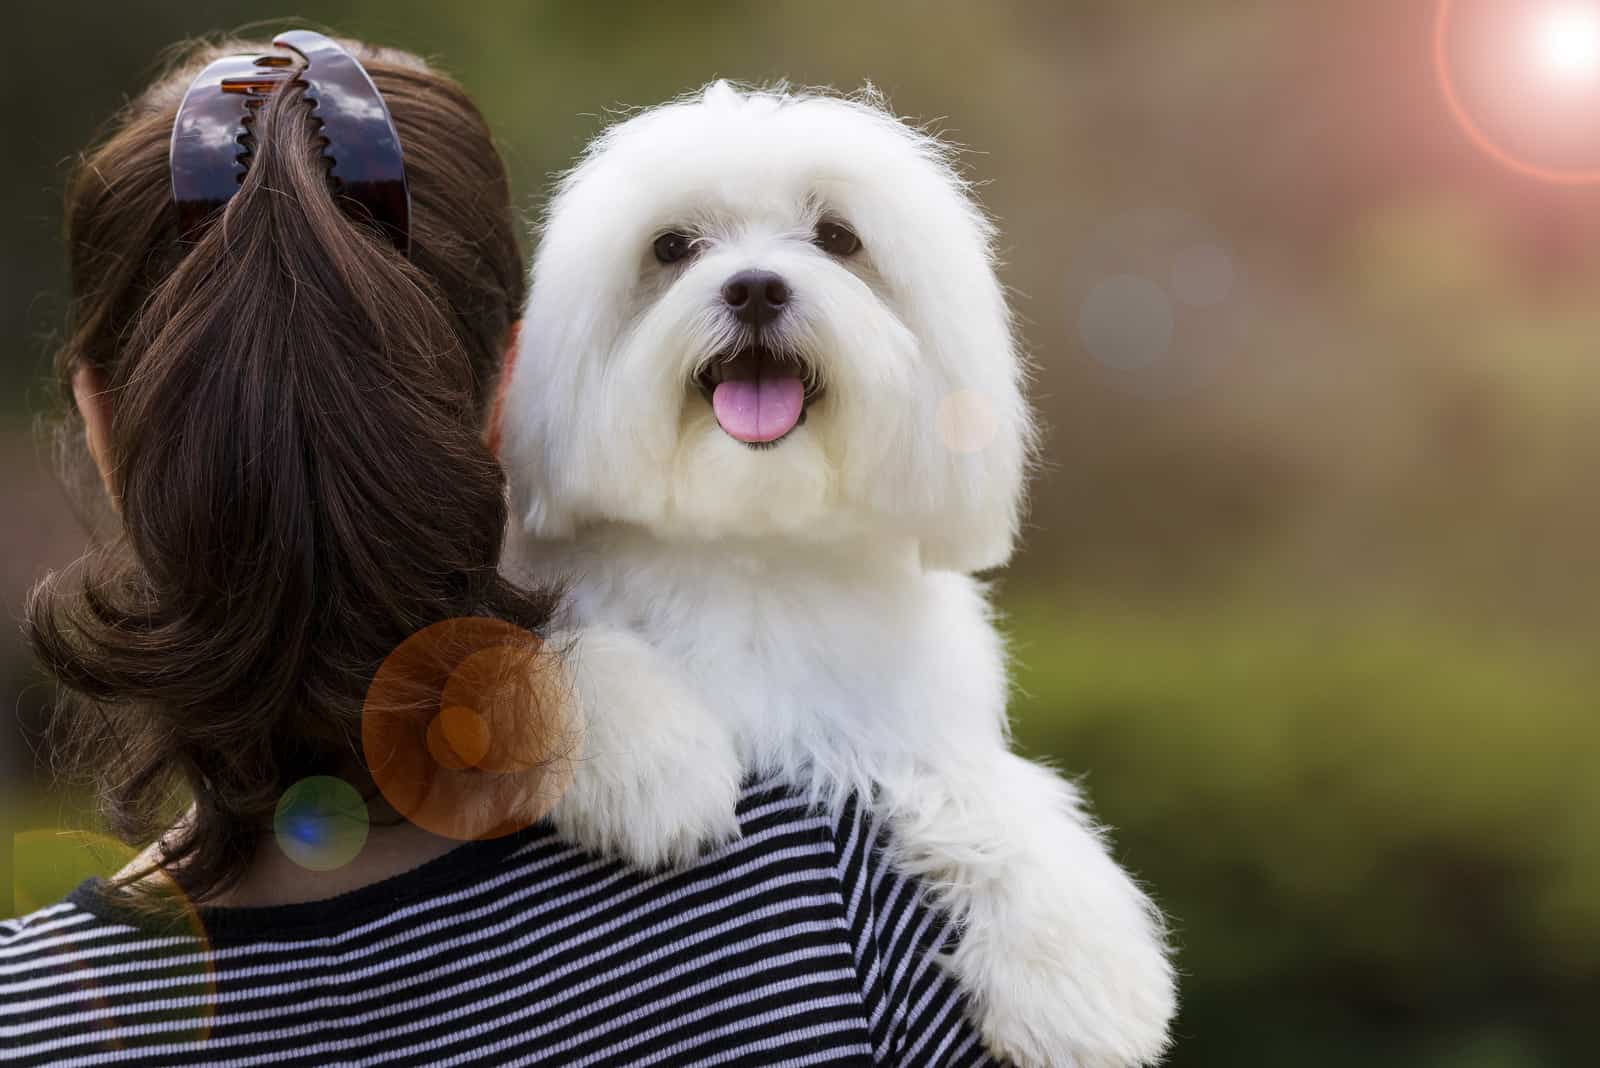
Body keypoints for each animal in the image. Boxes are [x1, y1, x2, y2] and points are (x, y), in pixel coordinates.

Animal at [499, 79, 1177, 1061]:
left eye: (838, 237)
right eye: (672, 246)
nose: (753, 286)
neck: (752, 543)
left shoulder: (895, 721)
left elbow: (992, 791)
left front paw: (1079, 976)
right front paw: (655, 767)